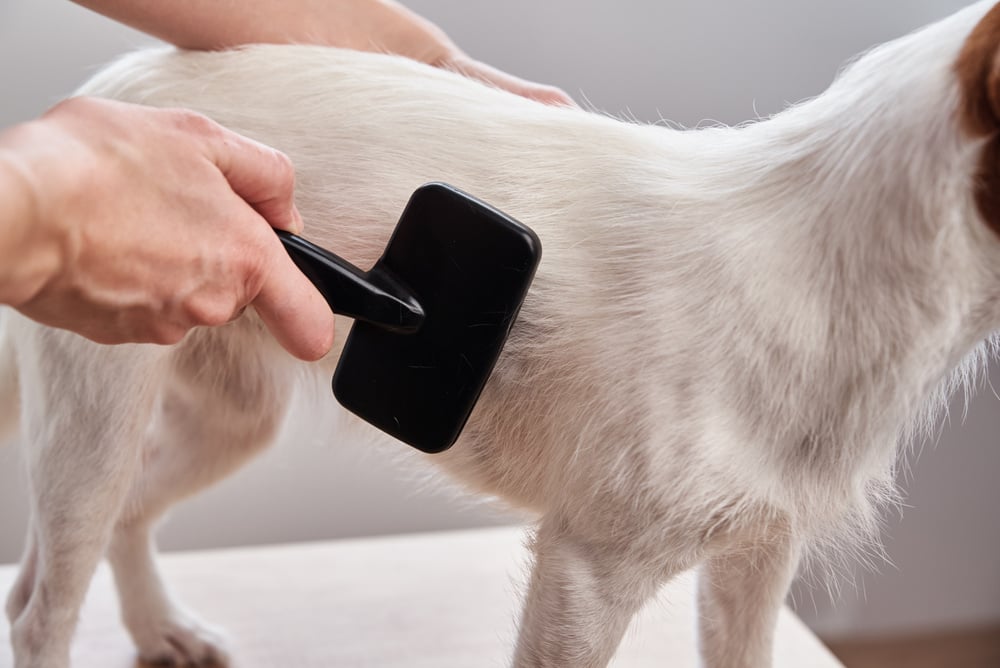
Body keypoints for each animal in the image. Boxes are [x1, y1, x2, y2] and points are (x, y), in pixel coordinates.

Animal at [5, 0, 1000, 664]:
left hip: (230, 421)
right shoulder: (585, 573)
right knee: (46, 607)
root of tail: (108, 94)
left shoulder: (756, 557)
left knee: (120, 524)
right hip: (97, 427)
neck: (816, 258)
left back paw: (158, 628)